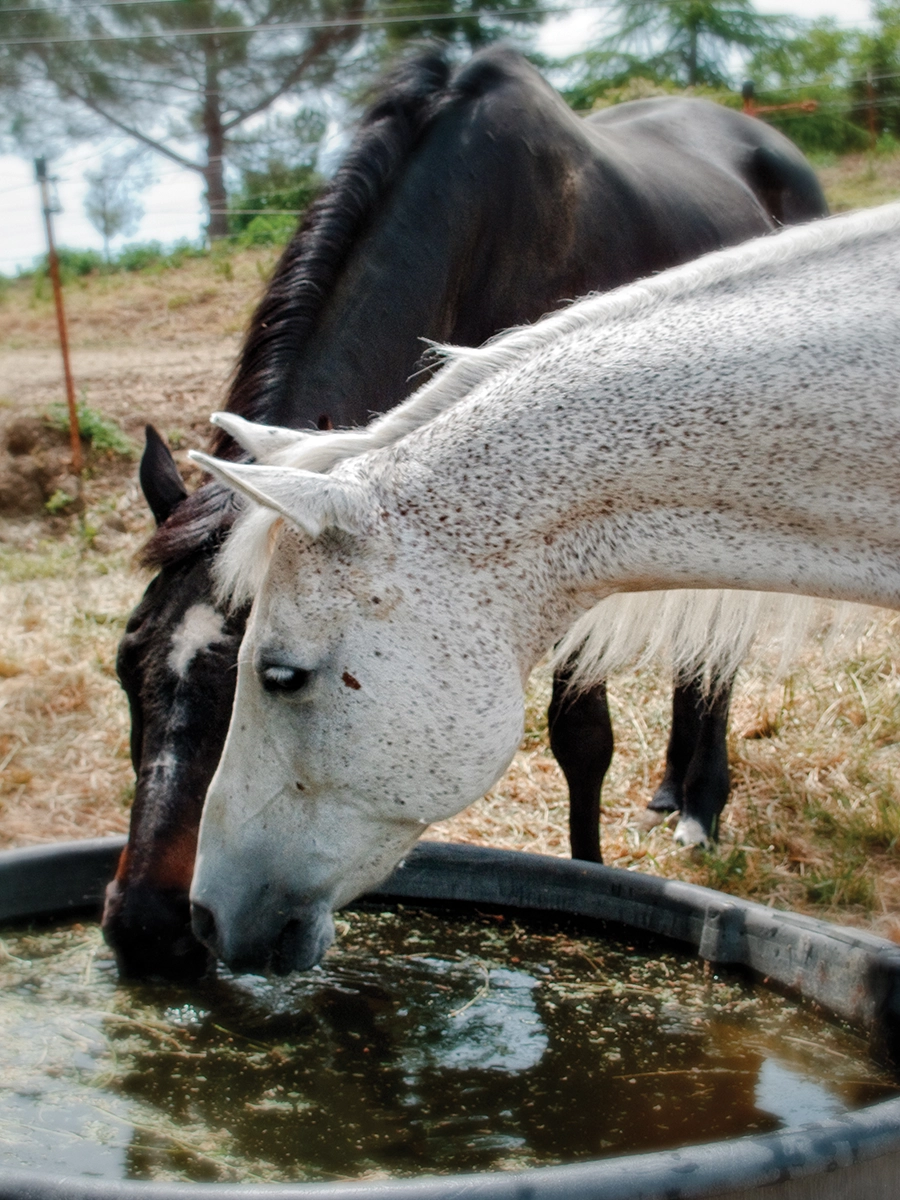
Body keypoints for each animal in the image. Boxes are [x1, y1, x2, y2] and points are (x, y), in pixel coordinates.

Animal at [105, 43, 827, 980]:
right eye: (127, 670)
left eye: (246, 684)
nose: (145, 928)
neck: (482, 237)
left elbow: (579, 736)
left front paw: (591, 882)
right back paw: (673, 787)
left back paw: (703, 803)